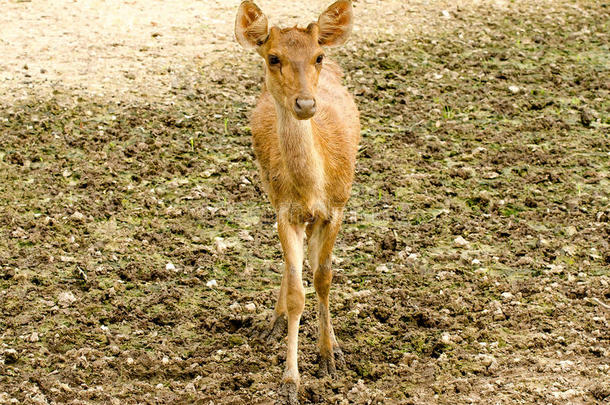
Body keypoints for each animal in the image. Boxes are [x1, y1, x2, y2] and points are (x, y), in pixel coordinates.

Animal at [233, 1, 356, 402]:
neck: (311, 188)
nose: (305, 103)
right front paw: (290, 381)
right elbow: (296, 293)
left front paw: (329, 357)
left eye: (317, 56)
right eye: (274, 58)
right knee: (291, 272)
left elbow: (324, 278)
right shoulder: (285, 213)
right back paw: (272, 325)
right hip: (269, 193)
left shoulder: (336, 208)